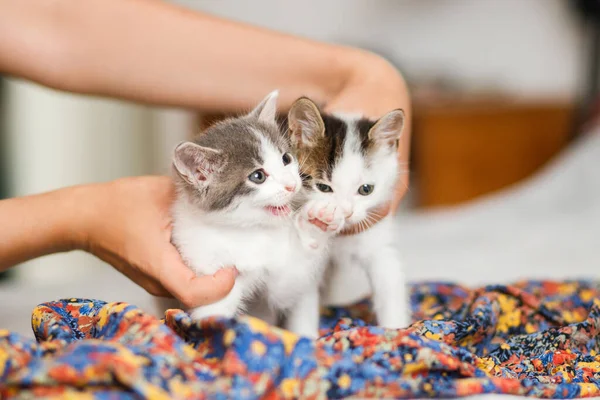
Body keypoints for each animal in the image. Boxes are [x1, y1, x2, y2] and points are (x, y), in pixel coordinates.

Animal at [155, 91, 342, 338]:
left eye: (286, 158)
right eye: (257, 176)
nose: (292, 185)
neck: (250, 231)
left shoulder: (286, 274)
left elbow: (290, 284)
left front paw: (320, 219)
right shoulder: (205, 273)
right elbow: (212, 314)